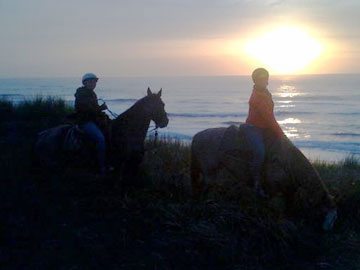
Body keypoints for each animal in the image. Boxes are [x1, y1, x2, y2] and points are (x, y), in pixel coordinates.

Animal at [34, 88, 168, 184]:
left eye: (163, 104)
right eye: (155, 105)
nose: (165, 122)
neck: (128, 132)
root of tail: (41, 135)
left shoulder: (134, 165)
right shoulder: (122, 166)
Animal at [191, 125, 338, 231]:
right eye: (326, 213)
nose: (326, 231)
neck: (289, 162)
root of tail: (197, 136)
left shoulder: (287, 188)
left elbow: (287, 203)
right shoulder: (275, 186)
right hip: (209, 172)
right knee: (204, 187)